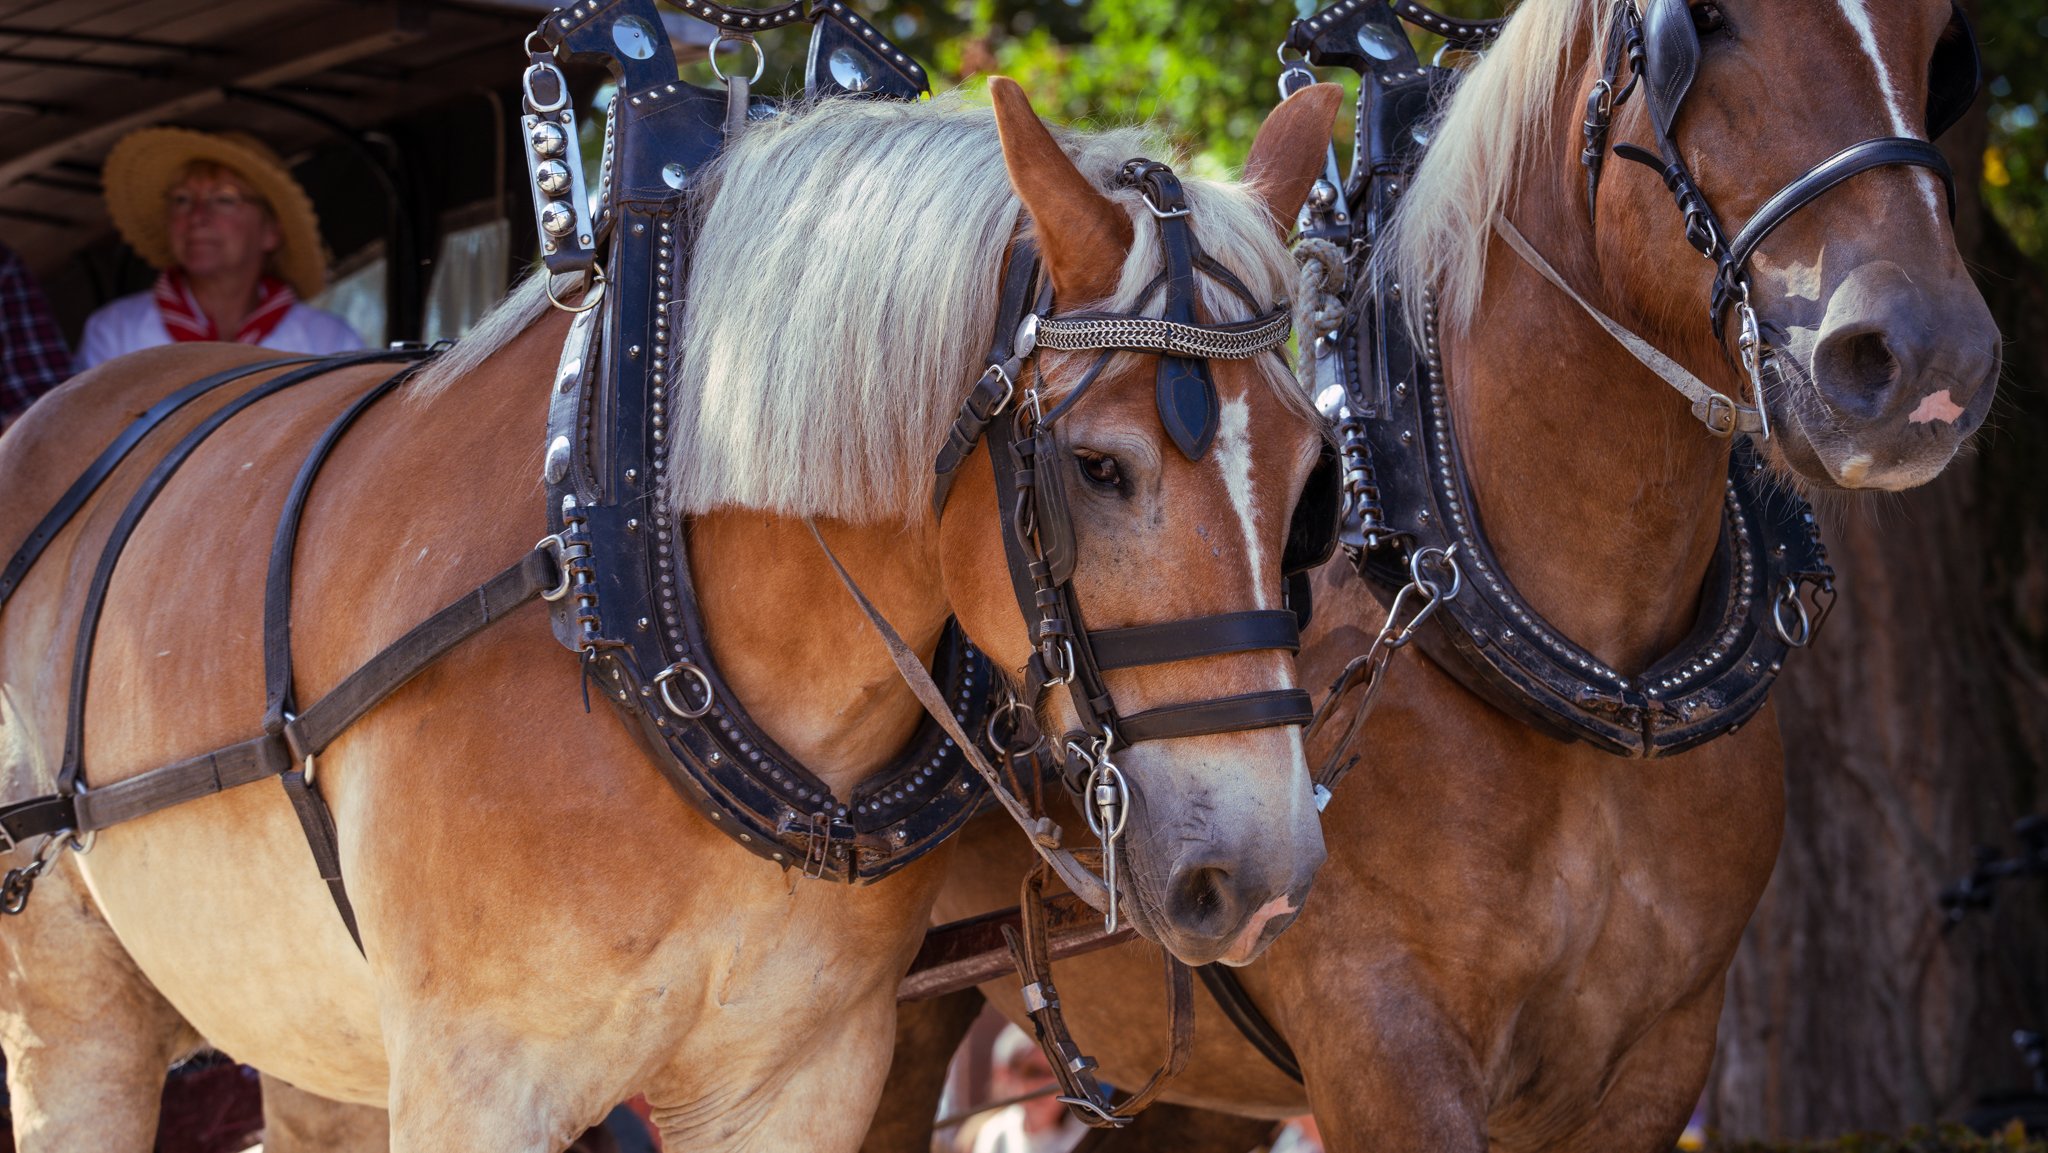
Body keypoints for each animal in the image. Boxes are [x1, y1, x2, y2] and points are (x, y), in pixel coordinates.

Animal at [0, 80, 1345, 1152]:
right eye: (1098, 468)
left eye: (1310, 479)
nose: (1264, 876)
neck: (628, 600)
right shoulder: (477, 1084)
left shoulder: (802, 1080)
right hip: (70, 1022)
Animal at [865, 0, 2002, 1150]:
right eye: (1707, 27)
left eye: (1939, 46)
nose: (1931, 362)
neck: (1600, 683)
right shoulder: (1384, 1042)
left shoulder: (1659, 1059)